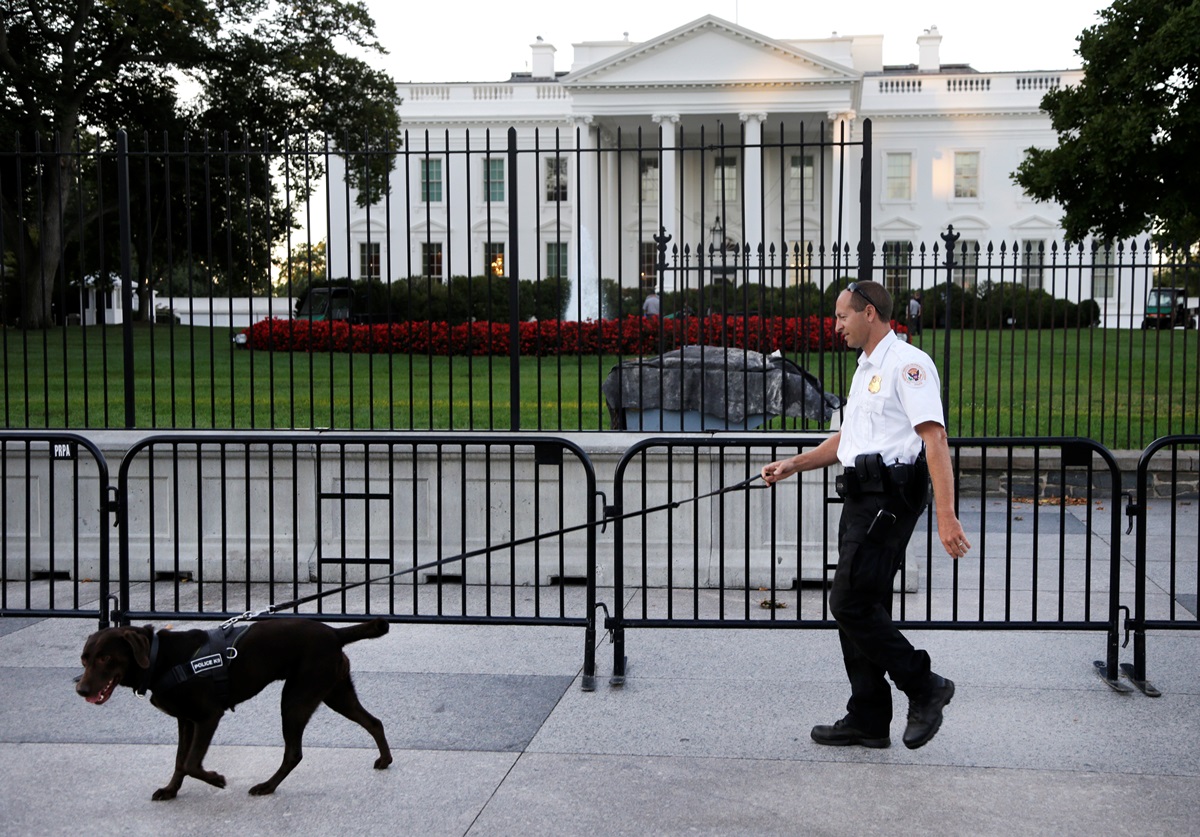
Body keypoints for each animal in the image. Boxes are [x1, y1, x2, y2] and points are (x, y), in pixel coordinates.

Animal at [76, 613, 393, 801]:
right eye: (84, 658)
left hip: (296, 699)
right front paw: (170, 790)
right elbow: (180, 761)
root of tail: (335, 633)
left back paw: (267, 786)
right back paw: (385, 760)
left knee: (294, 752)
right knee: (374, 721)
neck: (159, 657)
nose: (81, 690)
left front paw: (216, 779)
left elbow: (191, 762)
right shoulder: (185, 720)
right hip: (335, 693)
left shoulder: (208, 717)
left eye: (105, 658)